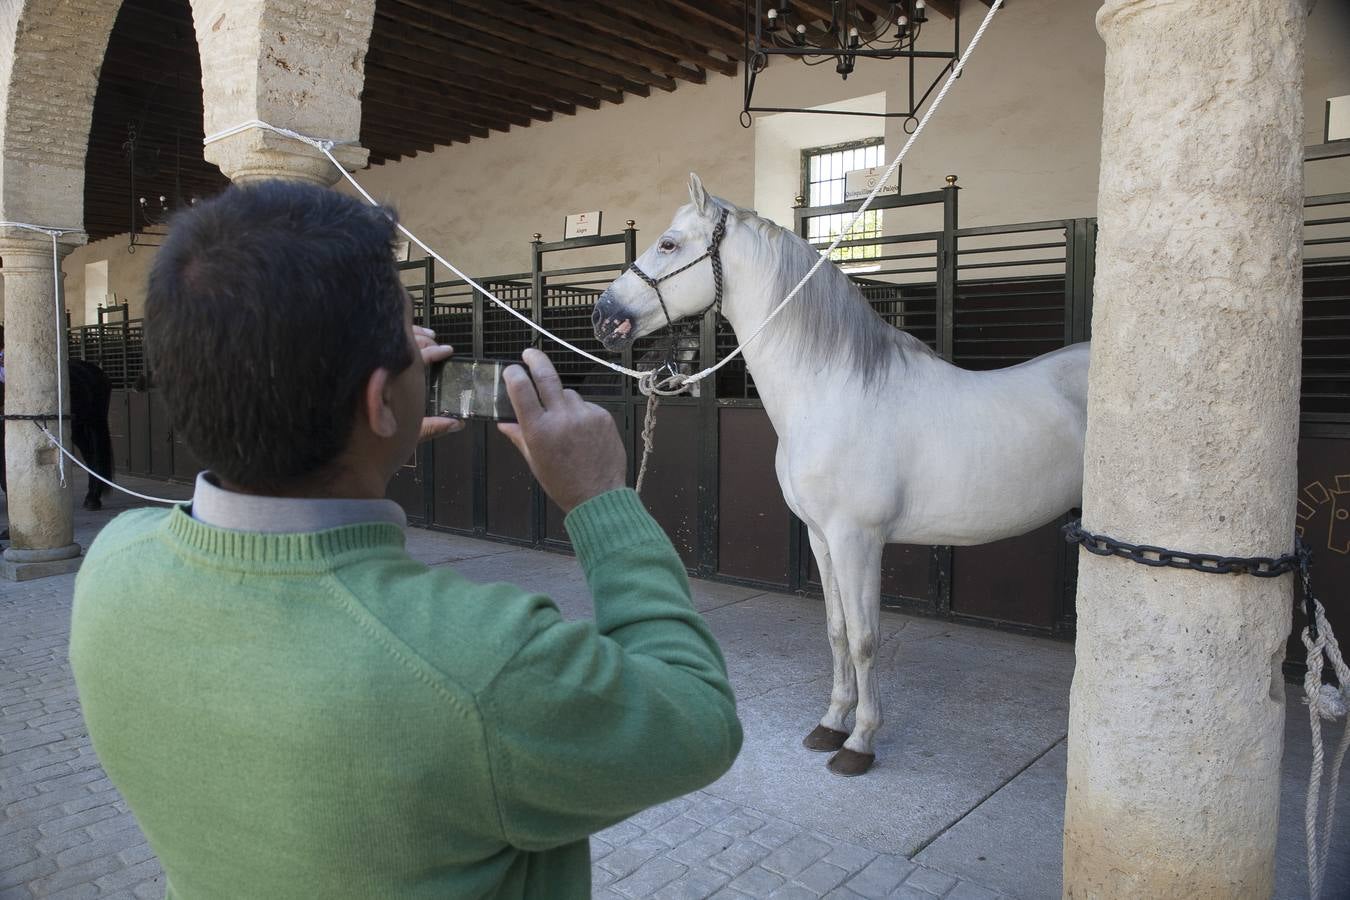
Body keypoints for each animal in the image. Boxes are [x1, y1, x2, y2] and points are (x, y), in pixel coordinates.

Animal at [591, 175, 1085, 777]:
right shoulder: (821, 537)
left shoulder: (858, 540)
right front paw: (831, 723)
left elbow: (866, 637)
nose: (604, 315)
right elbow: (836, 630)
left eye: (668, 244)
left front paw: (860, 743)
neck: (833, 391)